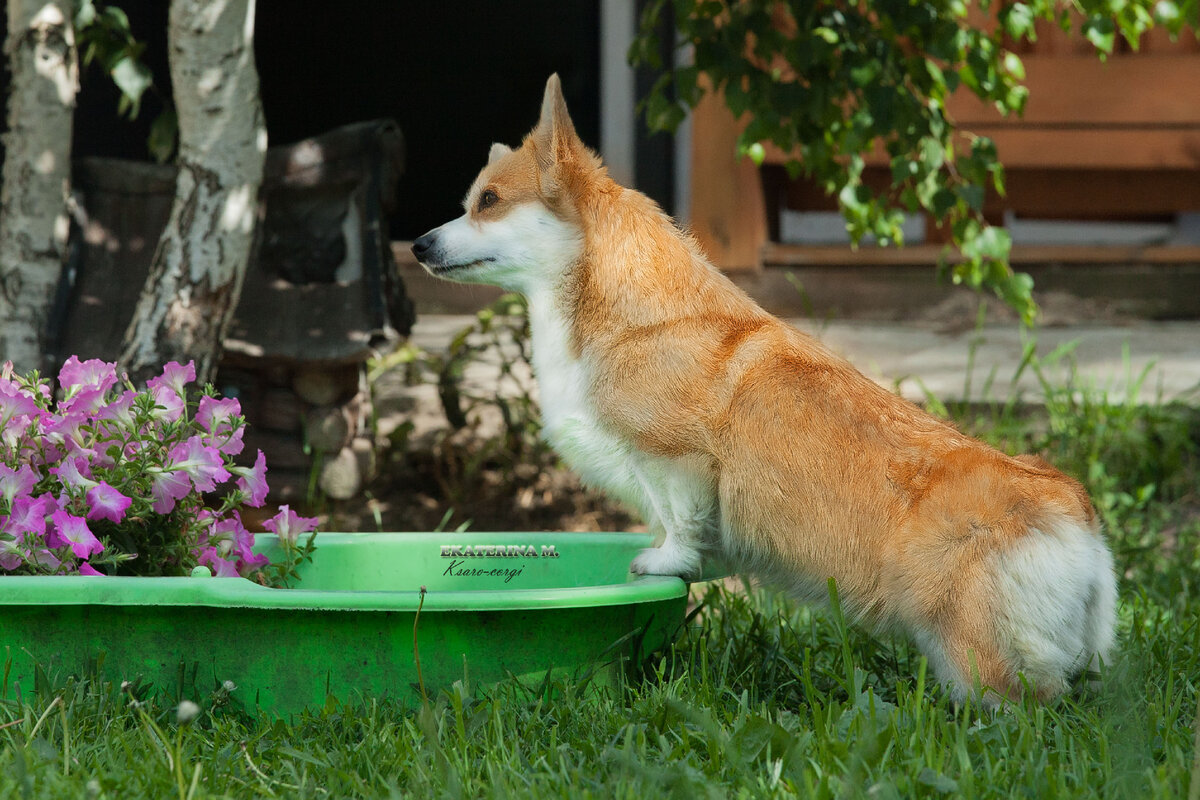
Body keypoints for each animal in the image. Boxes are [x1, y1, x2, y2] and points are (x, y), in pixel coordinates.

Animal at [412, 73, 1113, 700]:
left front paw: (664, 563)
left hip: (977, 658)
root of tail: (1074, 516)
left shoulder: (676, 461)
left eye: (488, 201)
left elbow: (682, 523)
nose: (417, 244)